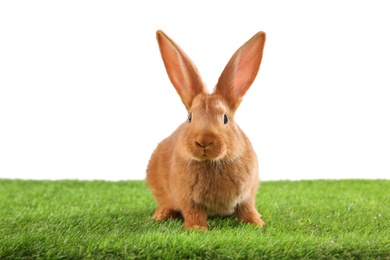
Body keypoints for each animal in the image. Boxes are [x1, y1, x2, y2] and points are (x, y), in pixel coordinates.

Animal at [145, 30, 266, 232]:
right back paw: (161, 215)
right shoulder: (187, 198)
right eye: (190, 117)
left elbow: (248, 209)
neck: (212, 163)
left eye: (225, 118)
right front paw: (197, 229)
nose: (204, 141)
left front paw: (257, 224)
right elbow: (193, 211)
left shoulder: (247, 195)